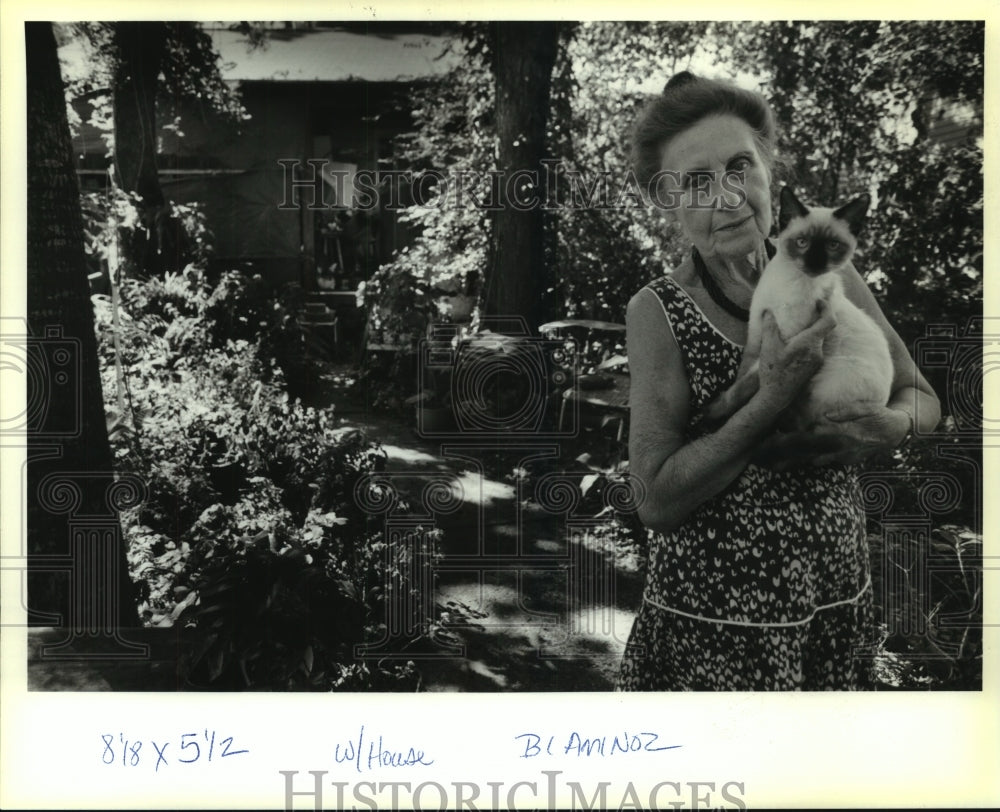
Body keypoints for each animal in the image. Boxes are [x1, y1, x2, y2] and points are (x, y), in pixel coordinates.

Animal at [704, 186, 892, 434]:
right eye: (802, 242)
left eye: (832, 246)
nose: (814, 263)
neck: (792, 282)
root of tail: (882, 403)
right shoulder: (756, 329)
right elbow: (741, 376)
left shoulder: (785, 342)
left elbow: (746, 384)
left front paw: (714, 412)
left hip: (829, 382)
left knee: (804, 420)